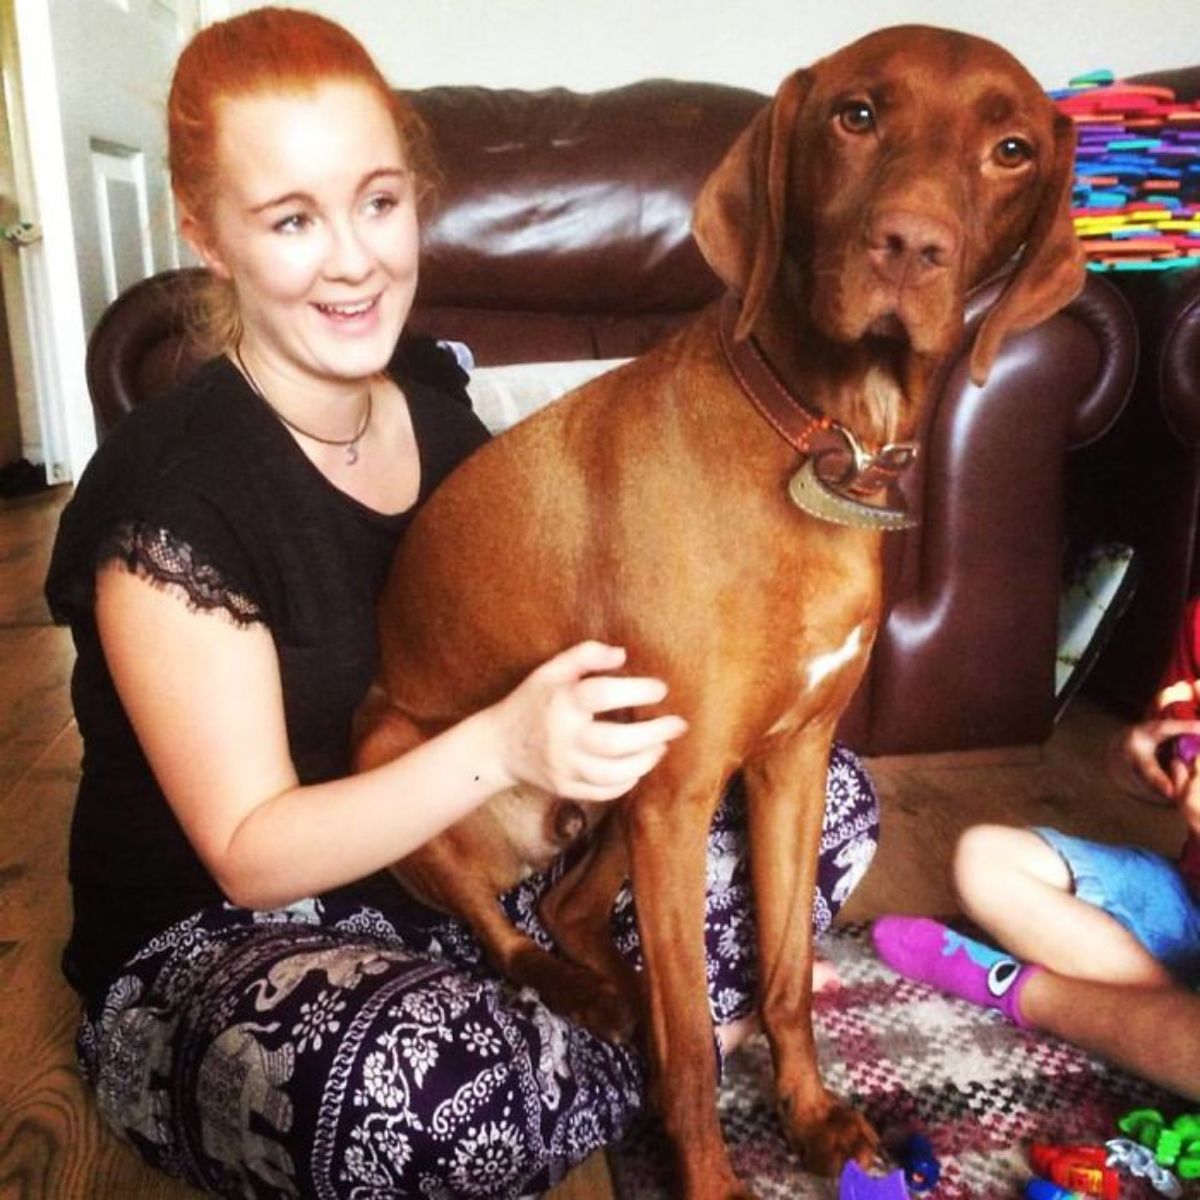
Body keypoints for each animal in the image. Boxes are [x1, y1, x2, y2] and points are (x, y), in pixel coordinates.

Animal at [355, 23, 1089, 1195]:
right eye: (856, 115)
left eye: (1012, 147)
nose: (910, 245)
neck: (822, 440)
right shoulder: (684, 789)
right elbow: (699, 1042)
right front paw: (706, 1166)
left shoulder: (784, 764)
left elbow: (785, 974)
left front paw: (813, 1115)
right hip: (405, 753)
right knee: (513, 936)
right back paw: (594, 995)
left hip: (621, 796)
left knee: (564, 907)